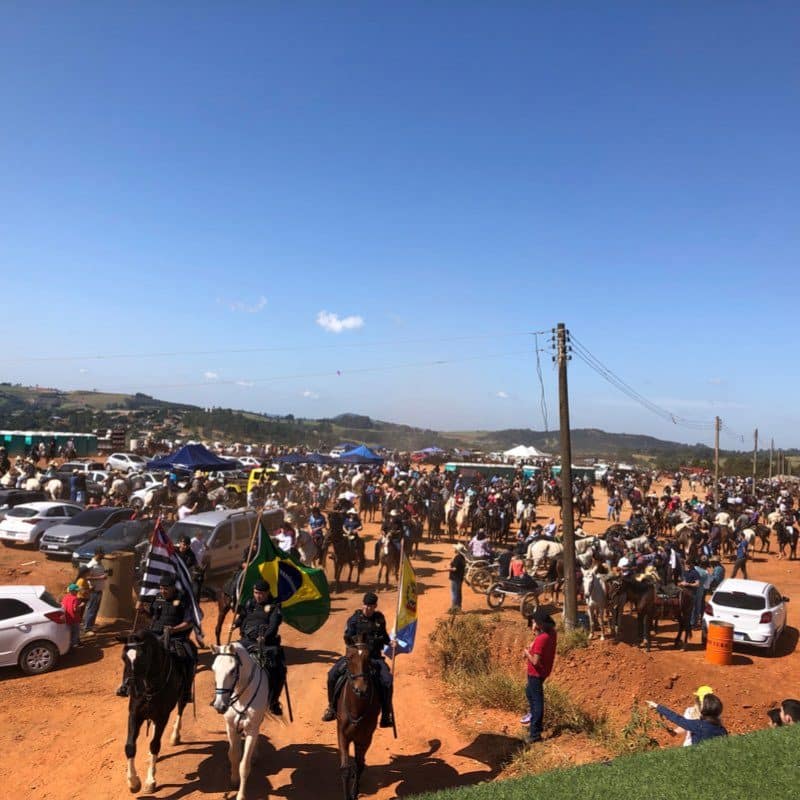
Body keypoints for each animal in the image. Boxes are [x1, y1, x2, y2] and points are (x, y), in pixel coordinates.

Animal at [115, 632, 190, 792]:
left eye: (143, 657)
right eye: (123, 657)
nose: (129, 688)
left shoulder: (163, 717)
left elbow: (155, 744)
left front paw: (150, 780)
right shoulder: (135, 715)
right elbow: (130, 746)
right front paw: (133, 782)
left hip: (183, 696)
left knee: (180, 711)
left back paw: (175, 736)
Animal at [211, 640, 274, 800]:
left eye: (233, 670)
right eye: (213, 669)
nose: (219, 706)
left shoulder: (251, 729)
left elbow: (244, 765)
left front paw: (240, 795)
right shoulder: (231, 727)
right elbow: (234, 755)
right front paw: (233, 780)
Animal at [338, 644, 382, 800]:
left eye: (368, 659)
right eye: (348, 658)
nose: (360, 690)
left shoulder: (365, 738)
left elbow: (359, 766)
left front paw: (354, 793)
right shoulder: (342, 735)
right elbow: (345, 769)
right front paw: (347, 795)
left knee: (360, 764)